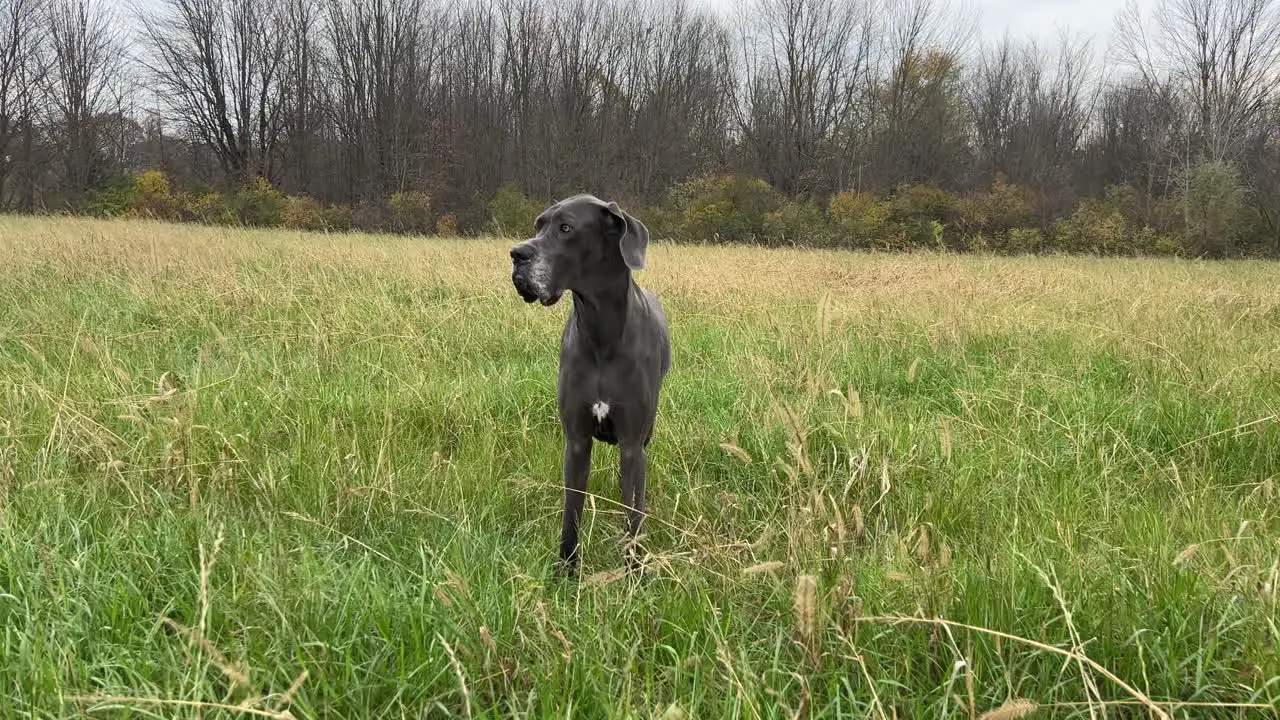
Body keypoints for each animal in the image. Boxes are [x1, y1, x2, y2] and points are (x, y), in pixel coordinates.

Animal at [506, 192, 675, 571]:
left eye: (566, 227)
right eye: (538, 225)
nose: (517, 254)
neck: (601, 333)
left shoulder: (632, 443)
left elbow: (634, 516)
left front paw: (635, 573)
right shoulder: (577, 441)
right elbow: (572, 511)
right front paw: (567, 569)